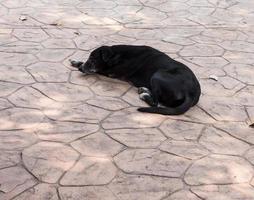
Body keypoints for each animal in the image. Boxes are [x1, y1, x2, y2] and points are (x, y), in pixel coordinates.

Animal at [69, 44, 200, 115]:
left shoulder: (111, 72)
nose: (81, 68)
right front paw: (76, 62)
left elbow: (98, 70)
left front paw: (78, 63)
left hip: (158, 74)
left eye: (93, 59)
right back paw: (144, 90)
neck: (116, 56)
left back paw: (145, 94)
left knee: (156, 103)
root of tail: (192, 93)